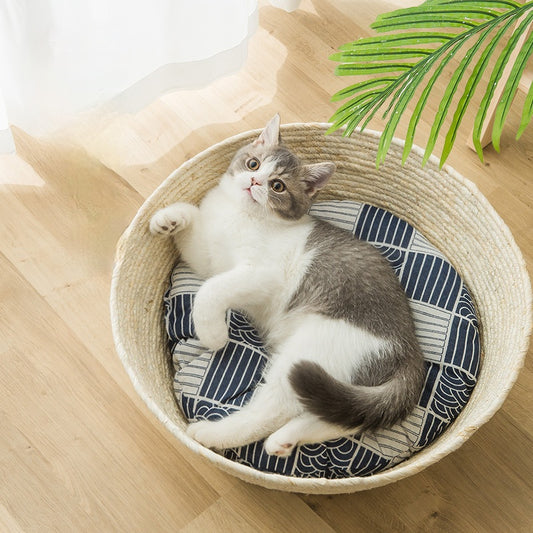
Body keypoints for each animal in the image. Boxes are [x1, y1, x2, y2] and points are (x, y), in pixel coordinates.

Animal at [150, 115, 424, 458]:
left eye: (277, 186)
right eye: (253, 164)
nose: (254, 182)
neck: (243, 215)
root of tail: (410, 351)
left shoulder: (264, 274)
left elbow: (210, 290)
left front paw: (212, 333)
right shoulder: (209, 257)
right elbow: (195, 231)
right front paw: (167, 218)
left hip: (314, 350)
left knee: (275, 407)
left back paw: (215, 433)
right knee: (346, 416)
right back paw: (286, 439)